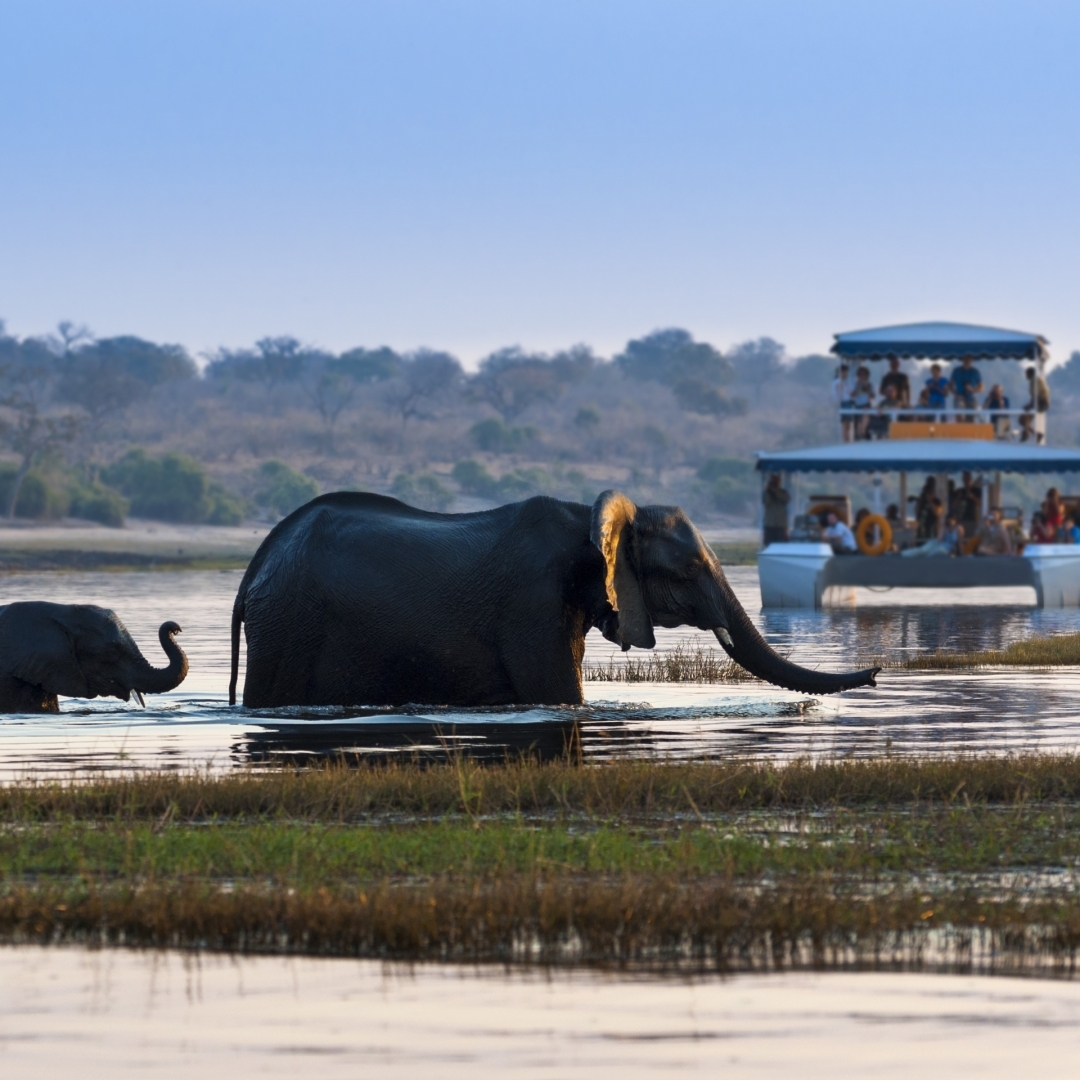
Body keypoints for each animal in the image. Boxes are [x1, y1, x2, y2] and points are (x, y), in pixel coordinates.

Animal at [230, 492, 876, 708]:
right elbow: (563, 696)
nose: (875, 673)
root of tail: (258, 561)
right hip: (288, 624)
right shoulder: (531, 603)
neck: (589, 519)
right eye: (691, 569)